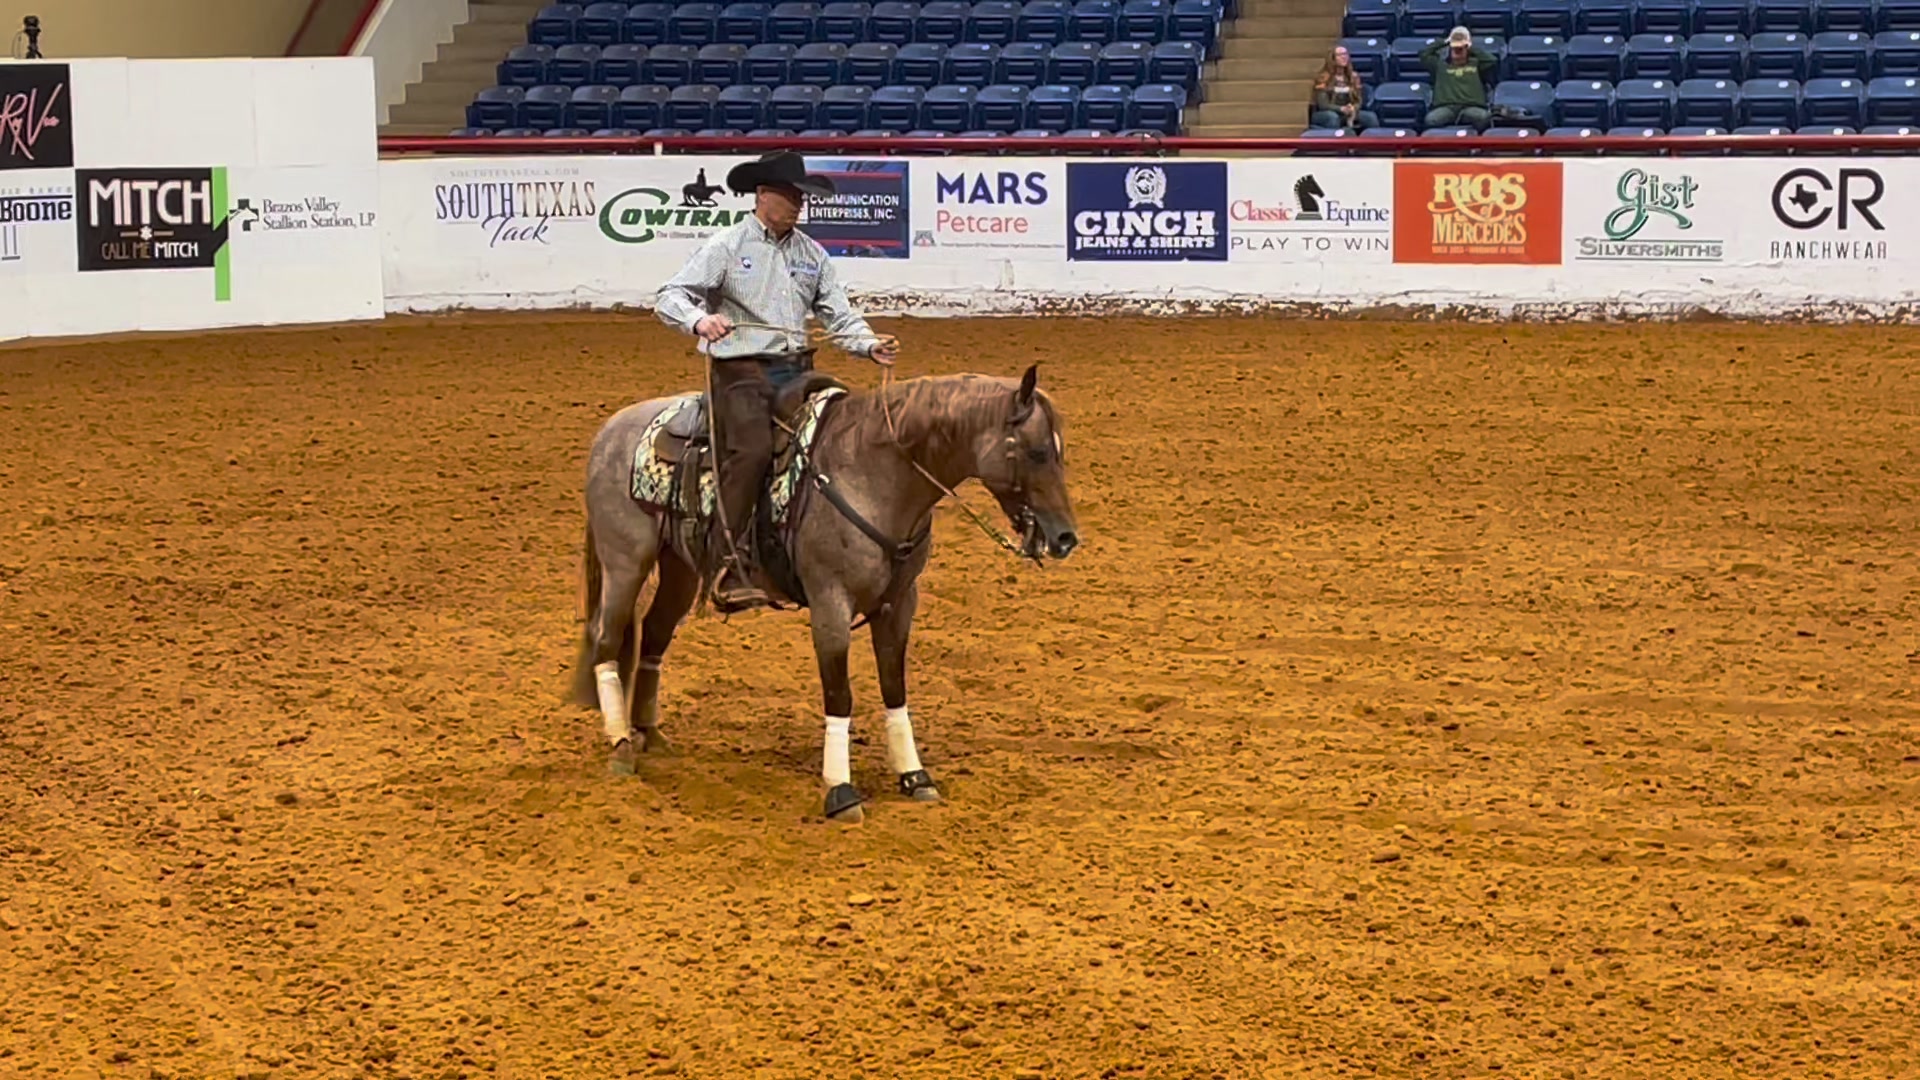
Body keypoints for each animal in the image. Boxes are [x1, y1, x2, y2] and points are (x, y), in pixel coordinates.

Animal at [569, 361, 1079, 823]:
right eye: (1036, 452)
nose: (1065, 538)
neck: (871, 473)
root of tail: (611, 430)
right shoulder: (831, 603)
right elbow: (840, 695)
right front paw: (840, 791)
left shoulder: (899, 602)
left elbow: (894, 687)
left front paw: (914, 776)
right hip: (625, 562)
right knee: (608, 641)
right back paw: (621, 747)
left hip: (679, 567)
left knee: (654, 635)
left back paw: (649, 734)